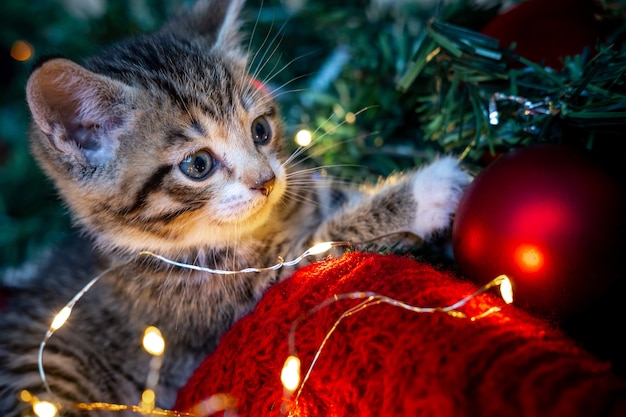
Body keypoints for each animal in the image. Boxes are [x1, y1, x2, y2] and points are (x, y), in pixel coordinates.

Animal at [0, 0, 468, 412]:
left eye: (260, 130)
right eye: (198, 165)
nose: (266, 181)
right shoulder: (220, 310)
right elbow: (318, 249)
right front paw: (426, 191)